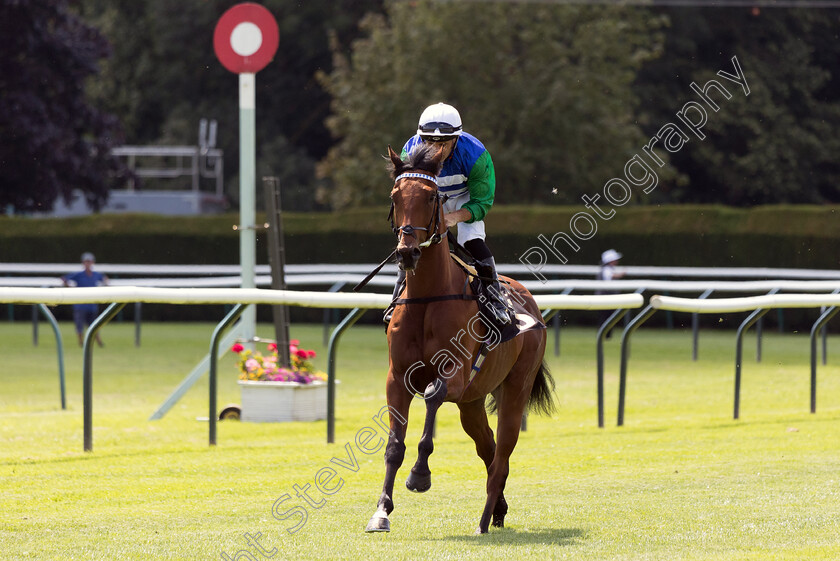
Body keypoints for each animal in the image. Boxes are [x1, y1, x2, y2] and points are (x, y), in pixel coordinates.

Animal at [366, 143, 552, 532]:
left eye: (431, 195)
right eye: (395, 196)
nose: (407, 251)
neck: (427, 297)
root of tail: (528, 300)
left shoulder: (456, 373)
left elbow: (433, 396)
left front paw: (420, 476)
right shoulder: (397, 378)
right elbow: (394, 445)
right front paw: (381, 511)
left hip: (515, 389)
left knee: (502, 454)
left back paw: (484, 519)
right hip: (472, 402)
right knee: (489, 449)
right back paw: (498, 509)